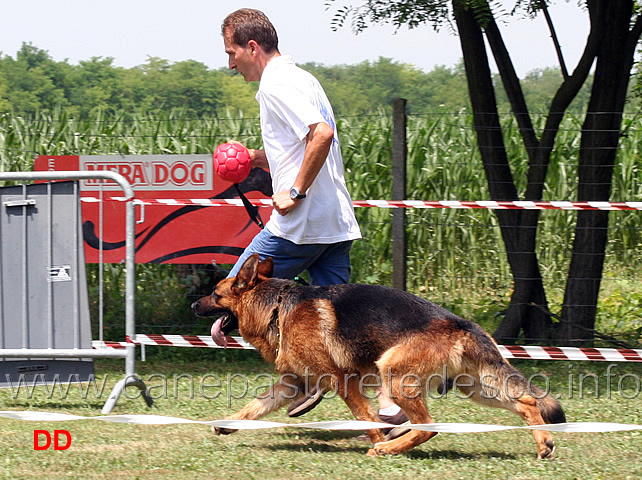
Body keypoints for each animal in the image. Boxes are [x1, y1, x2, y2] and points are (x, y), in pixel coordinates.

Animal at [192, 255, 564, 458]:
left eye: (215, 294)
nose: (194, 304)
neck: (277, 308)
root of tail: (464, 324)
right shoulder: (292, 384)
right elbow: (254, 406)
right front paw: (228, 424)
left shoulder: (342, 381)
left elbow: (365, 416)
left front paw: (378, 441)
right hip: (475, 388)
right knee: (527, 402)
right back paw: (544, 442)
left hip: (394, 373)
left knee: (428, 427)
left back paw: (389, 448)